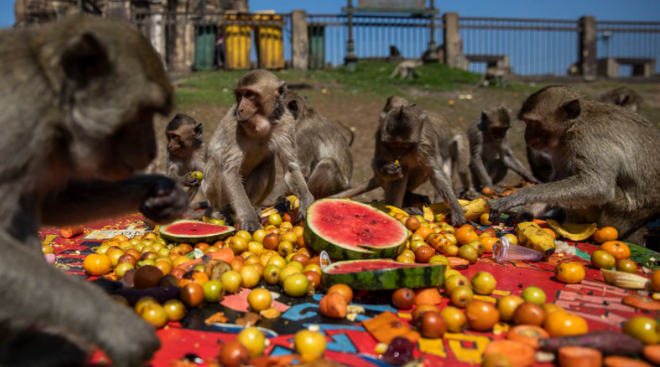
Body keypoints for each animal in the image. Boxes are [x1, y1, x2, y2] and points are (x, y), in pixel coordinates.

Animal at [0, 13, 188, 367]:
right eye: (142, 112)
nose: (151, 150)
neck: (54, 101)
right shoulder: (18, 123)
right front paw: (116, 327)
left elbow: (56, 201)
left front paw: (163, 192)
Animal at [201, 70, 314, 231]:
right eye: (239, 95)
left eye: (249, 94)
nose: (240, 109)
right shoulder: (233, 126)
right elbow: (230, 172)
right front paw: (249, 218)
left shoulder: (286, 123)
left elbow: (291, 168)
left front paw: (307, 201)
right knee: (217, 161)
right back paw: (219, 211)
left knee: (267, 163)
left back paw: (254, 206)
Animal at [332, 99, 466, 226]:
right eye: (392, 144)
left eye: (405, 144)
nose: (399, 156)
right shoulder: (380, 138)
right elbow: (375, 162)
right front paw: (388, 170)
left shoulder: (425, 142)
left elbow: (434, 172)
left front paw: (456, 209)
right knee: (401, 174)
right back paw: (398, 207)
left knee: (420, 168)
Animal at [490, 86, 660, 247]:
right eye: (526, 122)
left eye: (532, 122)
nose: (526, 136)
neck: (575, 124)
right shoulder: (562, 145)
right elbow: (560, 177)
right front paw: (529, 210)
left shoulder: (588, 140)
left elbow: (598, 186)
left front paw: (521, 195)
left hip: (617, 215)